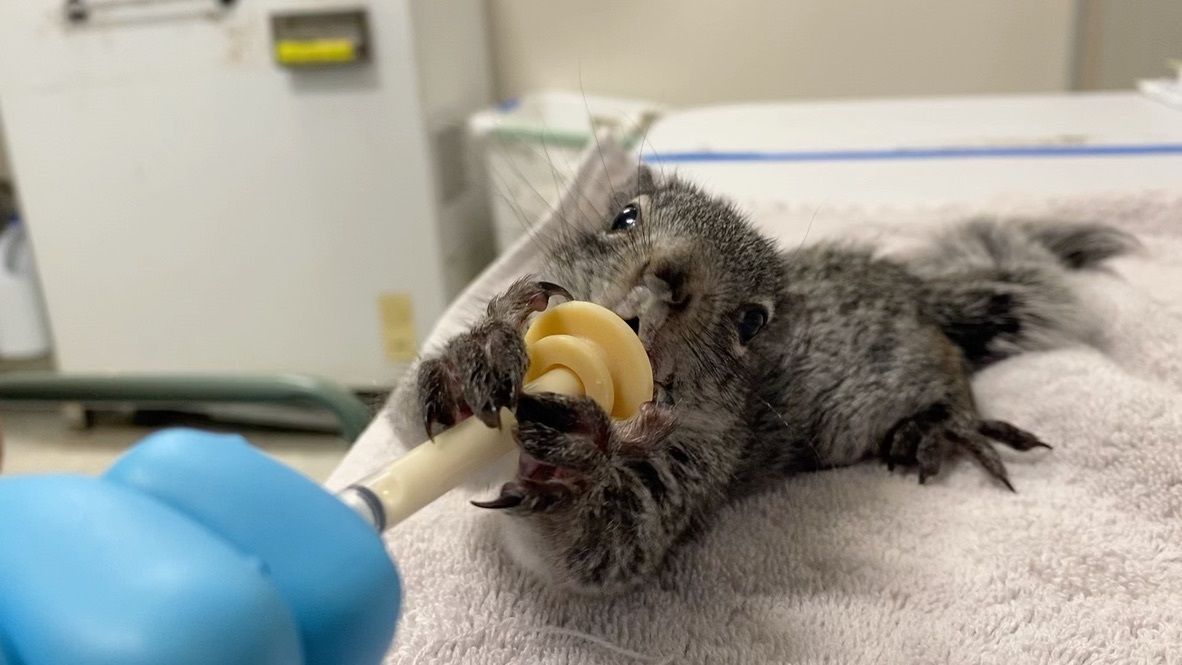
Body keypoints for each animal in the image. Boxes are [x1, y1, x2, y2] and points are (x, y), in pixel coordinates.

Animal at [386, 167, 1136, 594]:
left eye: (751, 321)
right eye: (623, 216)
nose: (669, 276)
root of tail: (917, 290)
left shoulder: (696, 466)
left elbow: (600, 550)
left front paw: (576, 456)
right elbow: (412, 430)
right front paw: (481, 351)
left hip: (872, 396)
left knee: (950, 369)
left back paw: (944, 427)